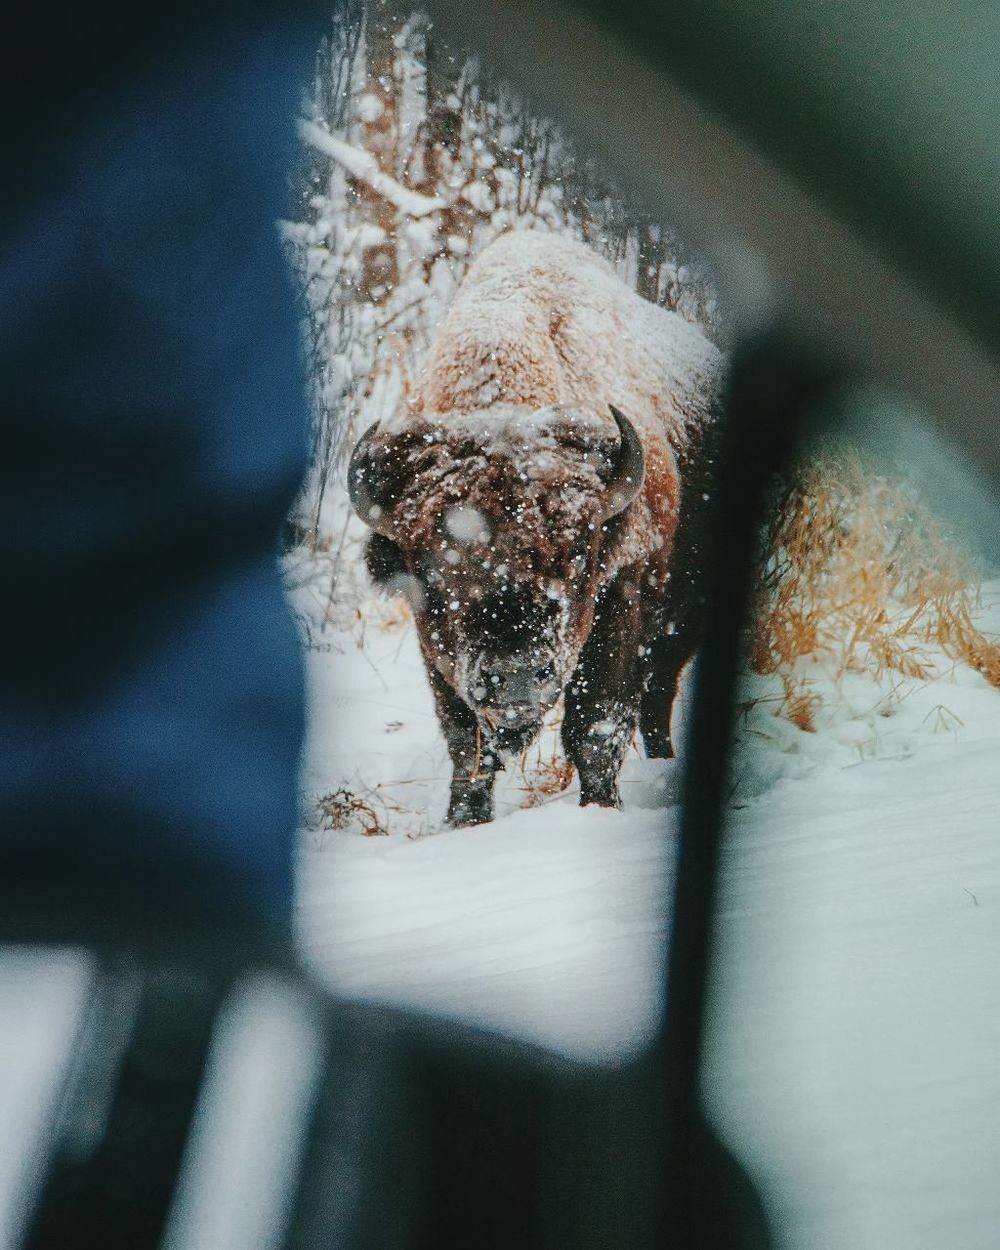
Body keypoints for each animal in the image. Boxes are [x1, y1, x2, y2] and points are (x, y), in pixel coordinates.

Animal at [347, 230, 725, 825]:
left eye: (578, 558)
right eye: (432, 571)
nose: (518, 675)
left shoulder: (623, 595)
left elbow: (595, 726)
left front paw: (601, 810)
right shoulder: (436, 647)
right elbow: (466, 743)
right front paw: (463, 823)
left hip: (683, 621)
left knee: (657, 694)